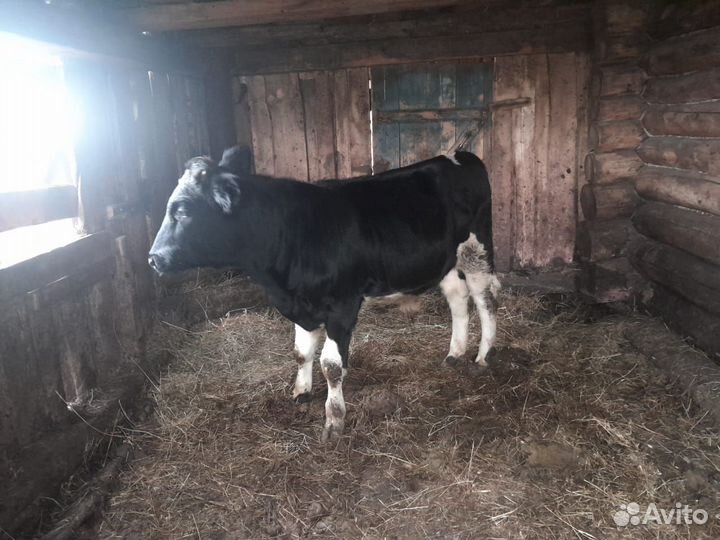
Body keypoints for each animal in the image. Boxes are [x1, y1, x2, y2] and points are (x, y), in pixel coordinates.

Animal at [148, 147, 501, 442]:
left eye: (183, 211)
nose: (153, 258)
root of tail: (460, 155)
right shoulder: (301, 305)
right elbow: (301, 353)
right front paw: (301, 391)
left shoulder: (342, 306)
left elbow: (330, 364)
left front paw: (334, 420)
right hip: (445, 261)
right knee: (457, 297)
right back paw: (454, 352)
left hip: (476, 249)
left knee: (485, 299)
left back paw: (483, 355)